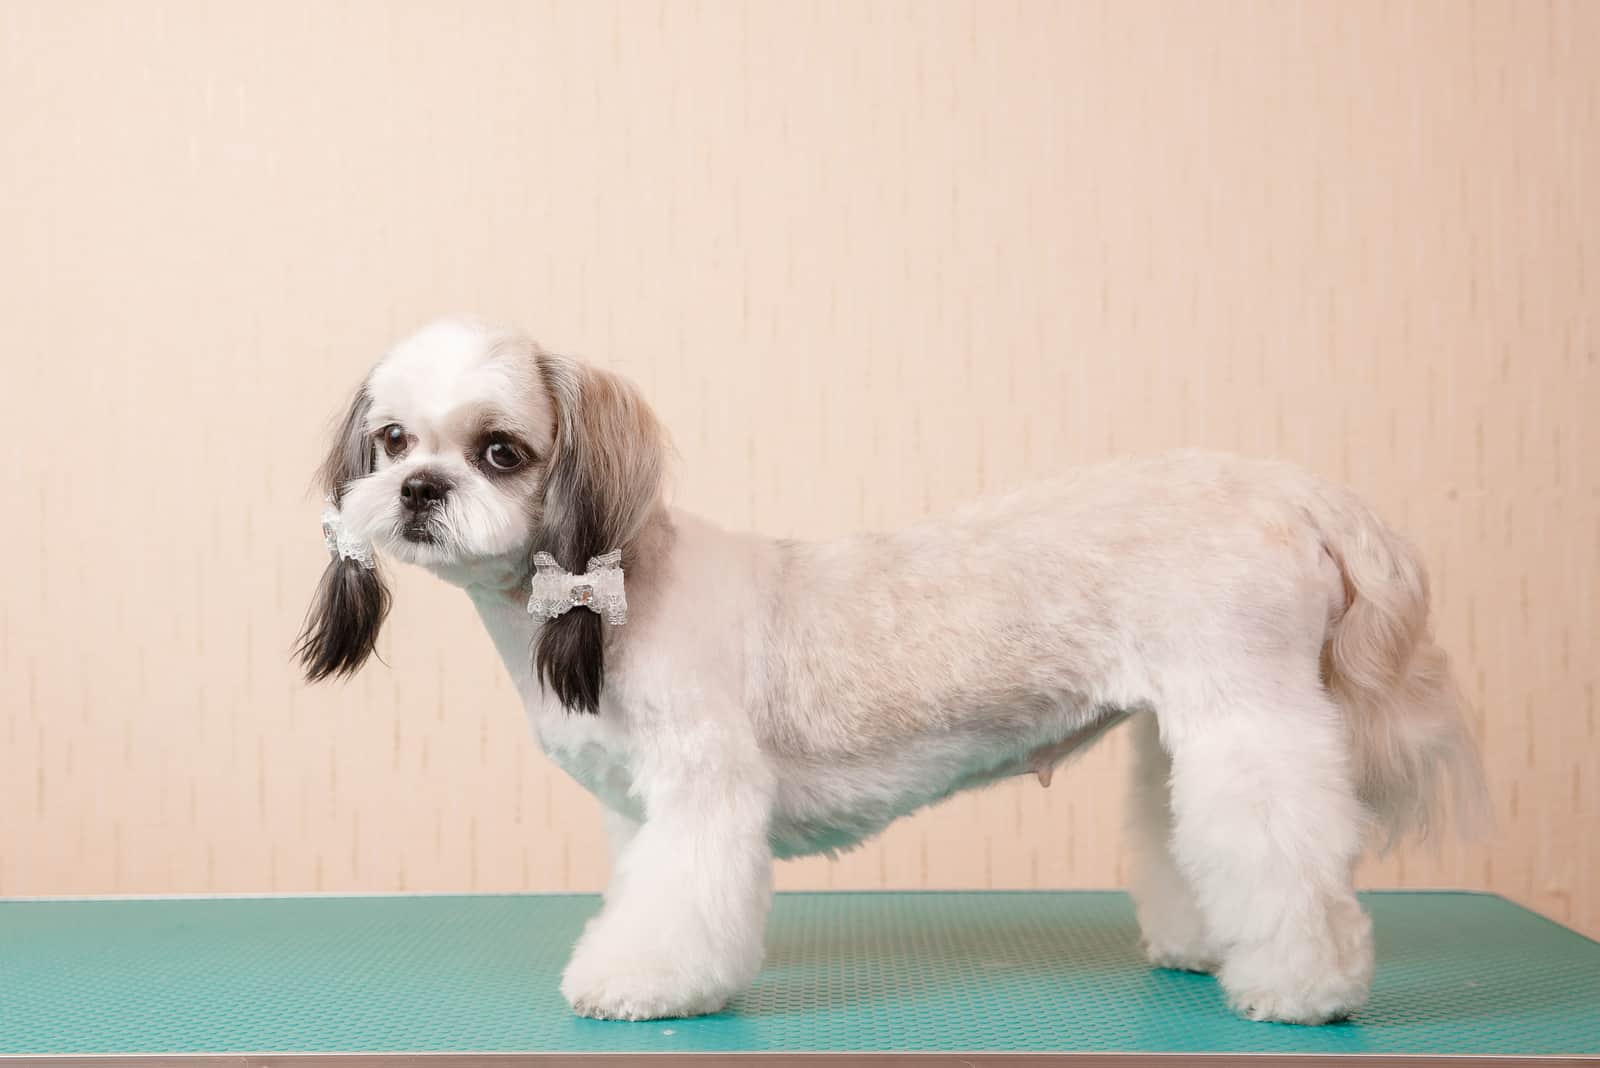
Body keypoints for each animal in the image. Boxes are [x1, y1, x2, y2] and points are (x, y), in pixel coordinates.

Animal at [297, 319, 1484, 1023]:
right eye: (392, 440)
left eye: (500, 451)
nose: (420, 489)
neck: (606, 598)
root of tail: (1292, 490)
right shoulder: (641, 811)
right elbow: (642, 888)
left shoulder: (704, 794)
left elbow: (678, 908)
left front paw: (640, 984)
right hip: (1185, 729)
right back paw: (1209, 948)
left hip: (1251, 716)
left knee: (1288, 857)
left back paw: (1303, 988)